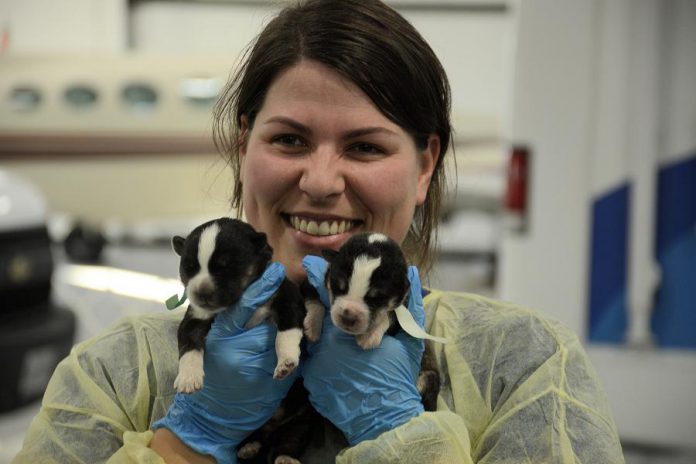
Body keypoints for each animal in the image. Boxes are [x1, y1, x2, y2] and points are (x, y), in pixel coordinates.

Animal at [171, 219, 304, 394]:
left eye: (226, 267)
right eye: (190, 268)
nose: (202, 293)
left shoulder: (288, 296)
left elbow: (287, 332)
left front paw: (286, 362)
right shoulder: (196, 317)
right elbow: (188, 345)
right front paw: (188, 378)